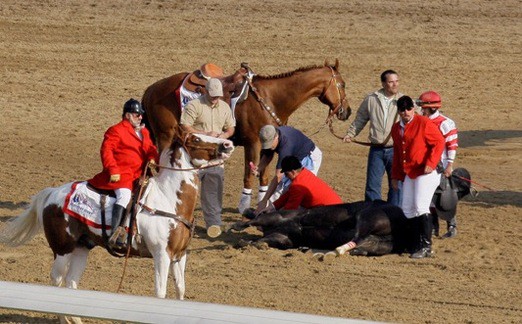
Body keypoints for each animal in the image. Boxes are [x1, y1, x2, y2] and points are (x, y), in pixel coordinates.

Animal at [0, 131, 232, 322]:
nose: (228, 144)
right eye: (196, 138)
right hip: (62, 249)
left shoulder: (180, 255)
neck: (168, 199)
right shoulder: (161, 255)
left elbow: (180, 291)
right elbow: (160, 293)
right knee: (57, 282)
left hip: (81, 248)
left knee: (71, 283)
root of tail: (52, 193)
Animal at [141, 60, 350, 213]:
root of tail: (150, 90)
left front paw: (262, 202)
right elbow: (249, 174)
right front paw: (243, 206)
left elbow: (264, 176)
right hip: (165, 136)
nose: (347, 111)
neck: (271, 98)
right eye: (342, 84)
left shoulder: (269, 147)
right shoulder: (253, 143)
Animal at [232, 168, 472, 256]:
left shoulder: (280, 218)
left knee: (357, 237)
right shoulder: (282, 237)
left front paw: (238, 226)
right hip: (377, 243)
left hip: (367, 219)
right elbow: (263, 239)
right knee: (360, 244)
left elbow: (255, 222)